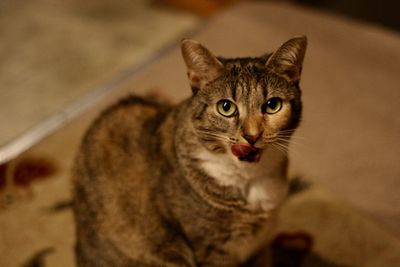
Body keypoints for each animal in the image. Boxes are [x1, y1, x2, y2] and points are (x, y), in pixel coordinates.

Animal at [73, 36, 308, 267]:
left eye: (272, 105)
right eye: (226, 107)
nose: (252, 135)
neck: (250, 177)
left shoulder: (263, 245)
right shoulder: (213, 249)